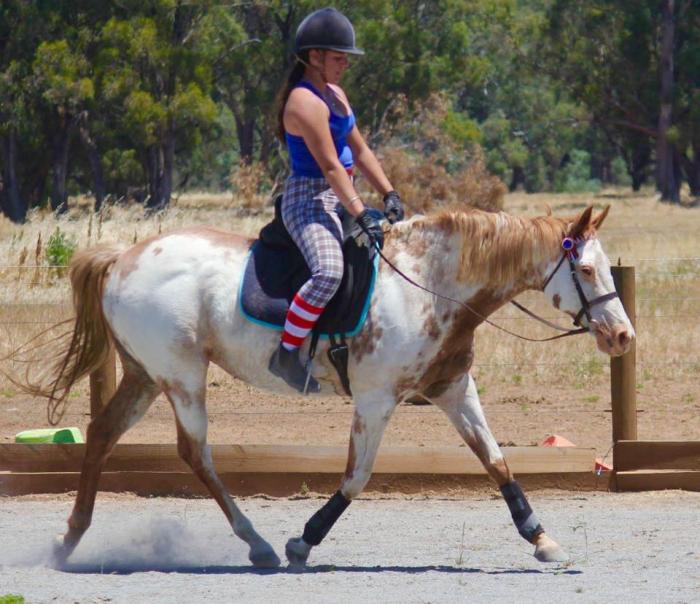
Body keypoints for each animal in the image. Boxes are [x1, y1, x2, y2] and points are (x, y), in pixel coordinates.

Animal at [30, 203, 633, 569]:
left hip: (144, 375)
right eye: (585, 271)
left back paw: (69, 539)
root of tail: (123, 257)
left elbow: (497, 461)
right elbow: (356, 477)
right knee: (194, 452)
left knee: (101, 434)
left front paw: (540, 536)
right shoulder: (376, 398)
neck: (430, 286)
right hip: (180, 375)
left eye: (606, 268)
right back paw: (259, 543)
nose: (622, 336)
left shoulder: (454, 389)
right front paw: (305, 539)